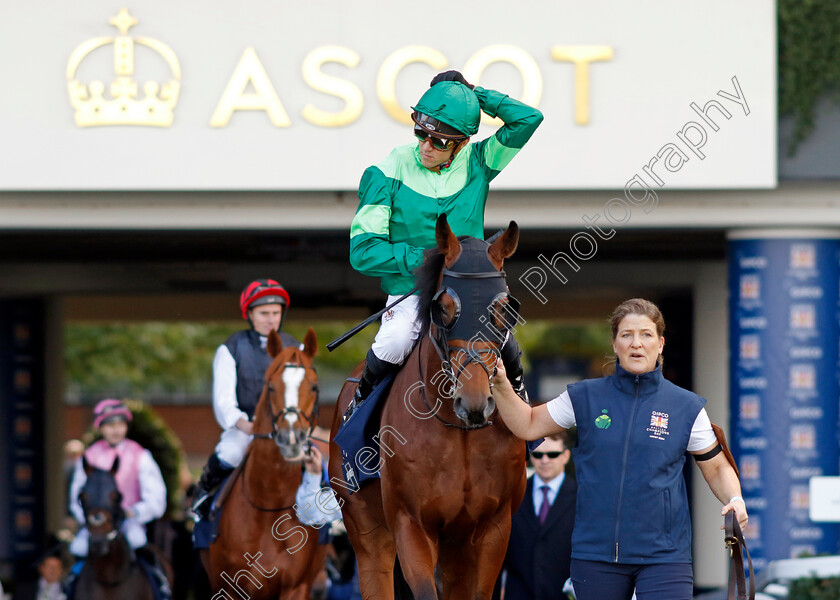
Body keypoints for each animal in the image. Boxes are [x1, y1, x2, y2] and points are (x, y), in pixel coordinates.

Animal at [203, 328, 328, 600]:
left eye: (314, 386)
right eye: (270, 387)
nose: (291, 437)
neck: (269, 507)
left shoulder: (296, 587)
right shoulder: (231, 588)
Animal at [328, 217, 524, 600]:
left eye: (503, 310)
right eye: (444, 307)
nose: (475, 403)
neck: (461, 434)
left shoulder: (494, 526)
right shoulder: (411, 523)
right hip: (367, 531)